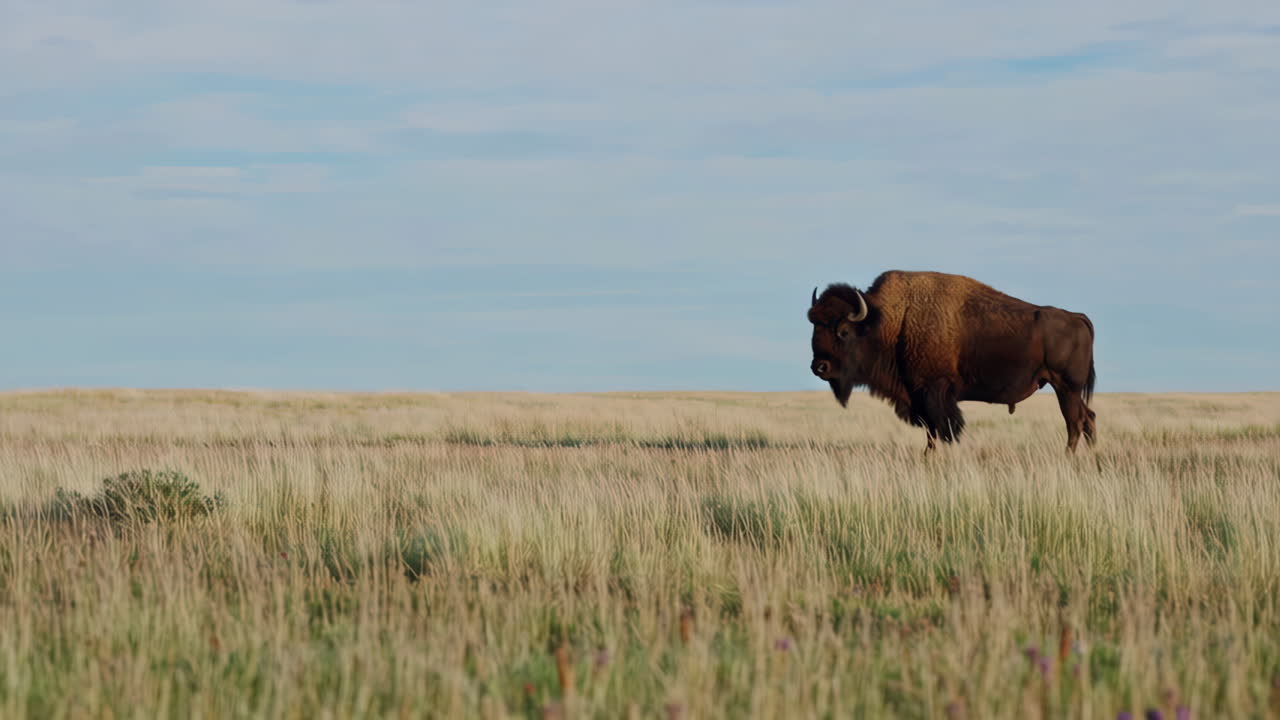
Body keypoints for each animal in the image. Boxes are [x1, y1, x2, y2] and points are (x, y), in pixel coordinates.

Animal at [808, 270, 1096, 452]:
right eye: (814, 326)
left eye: (843, 331)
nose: (819, 367)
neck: (889, 322)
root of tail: (1077, 317)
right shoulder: (917, 396)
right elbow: (931, 431)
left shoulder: (933, 392)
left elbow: (942, 428)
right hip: (1067, 389)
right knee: (1088, 417)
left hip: (1065, 387)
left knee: (1075, 422)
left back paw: (1068, 457)